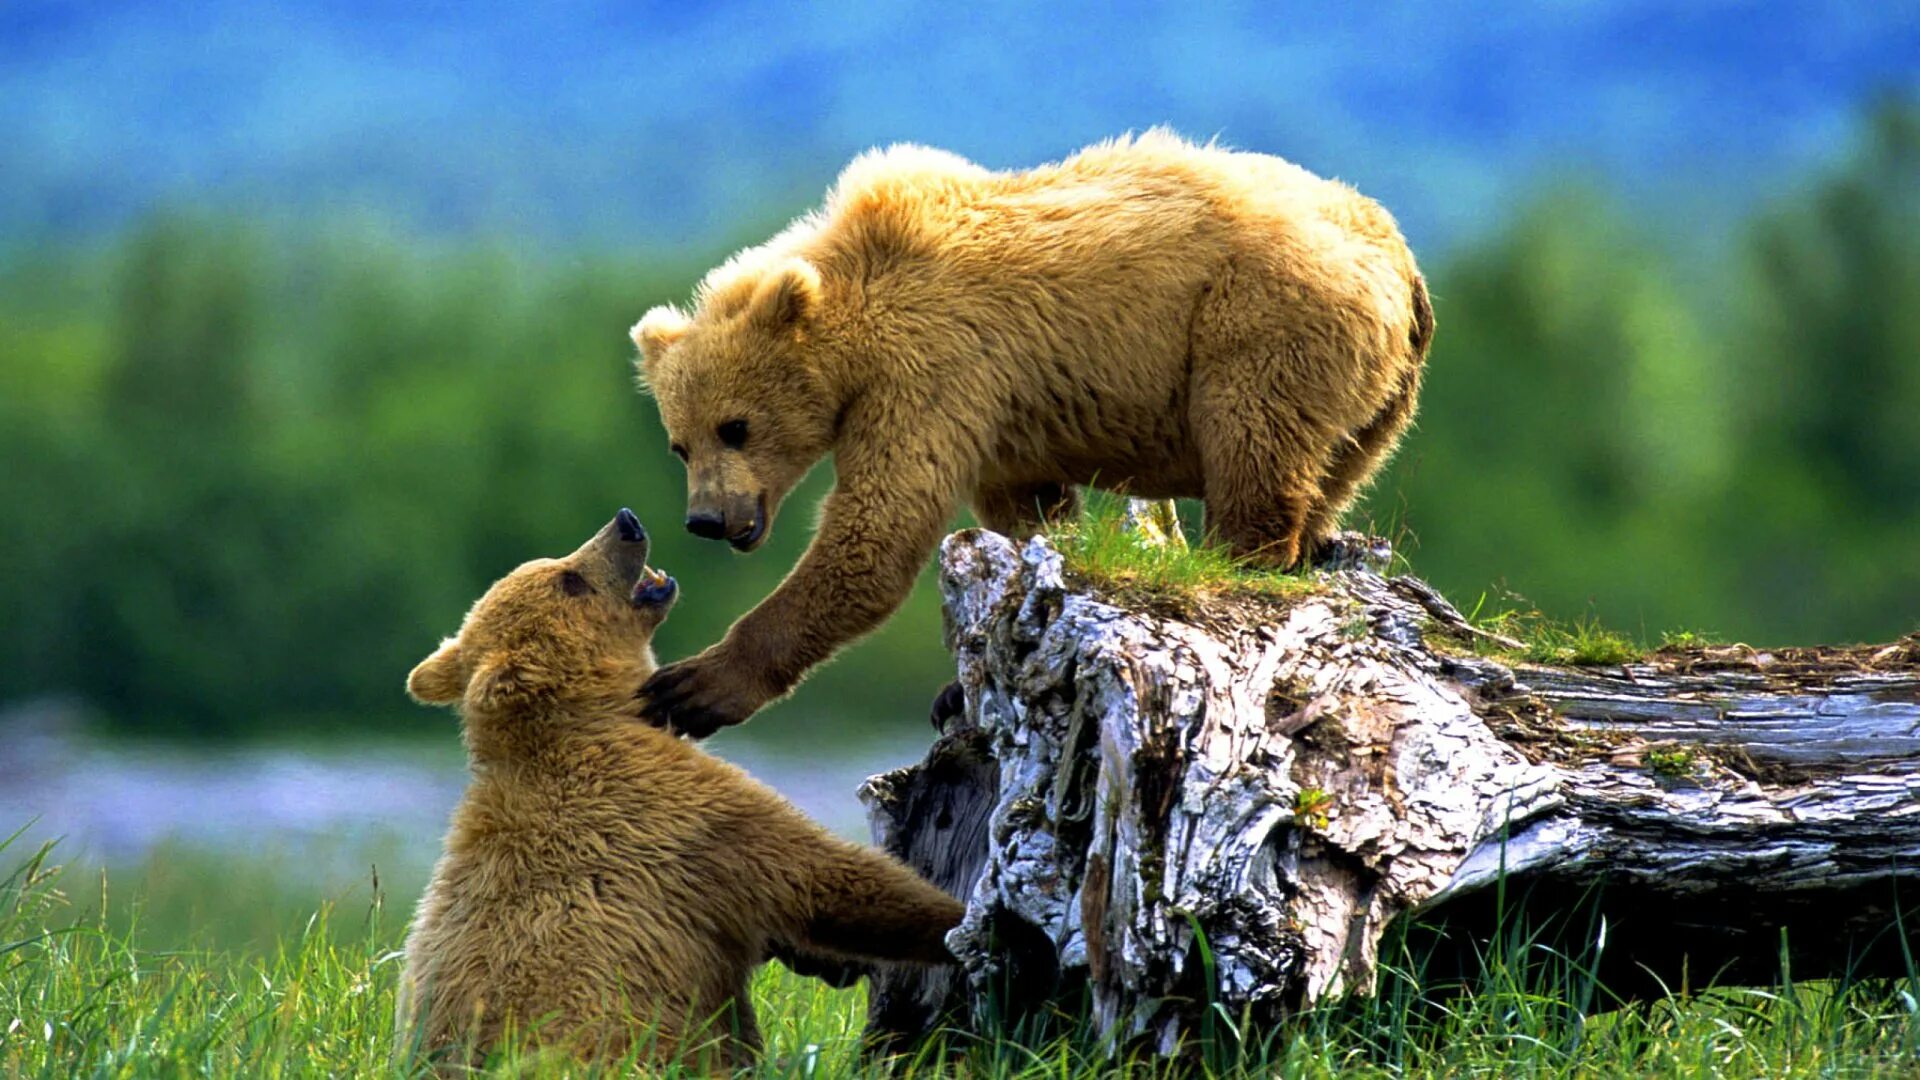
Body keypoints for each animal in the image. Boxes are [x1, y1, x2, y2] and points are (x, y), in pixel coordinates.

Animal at [393, 507, 960, 1060]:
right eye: (569, 580)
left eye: (557, 565)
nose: (625, 523)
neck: (593, 716)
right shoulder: (676, 817)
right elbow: (823, 877)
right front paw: (954, 921)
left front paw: (831, 961)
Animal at [637, 125, 1436, 730]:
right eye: (679, 443)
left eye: (736, 426)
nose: (706, 518)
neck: (853, 319)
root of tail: (1402, 259)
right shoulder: (999, 414)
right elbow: (1027, 513)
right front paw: (963, 678)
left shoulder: (932, 371)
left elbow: (876, 533)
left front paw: (691, 685)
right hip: (1379, 398)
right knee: (1330, 472)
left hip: (1263, 318)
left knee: (1252, 443)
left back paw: (1239, 556)